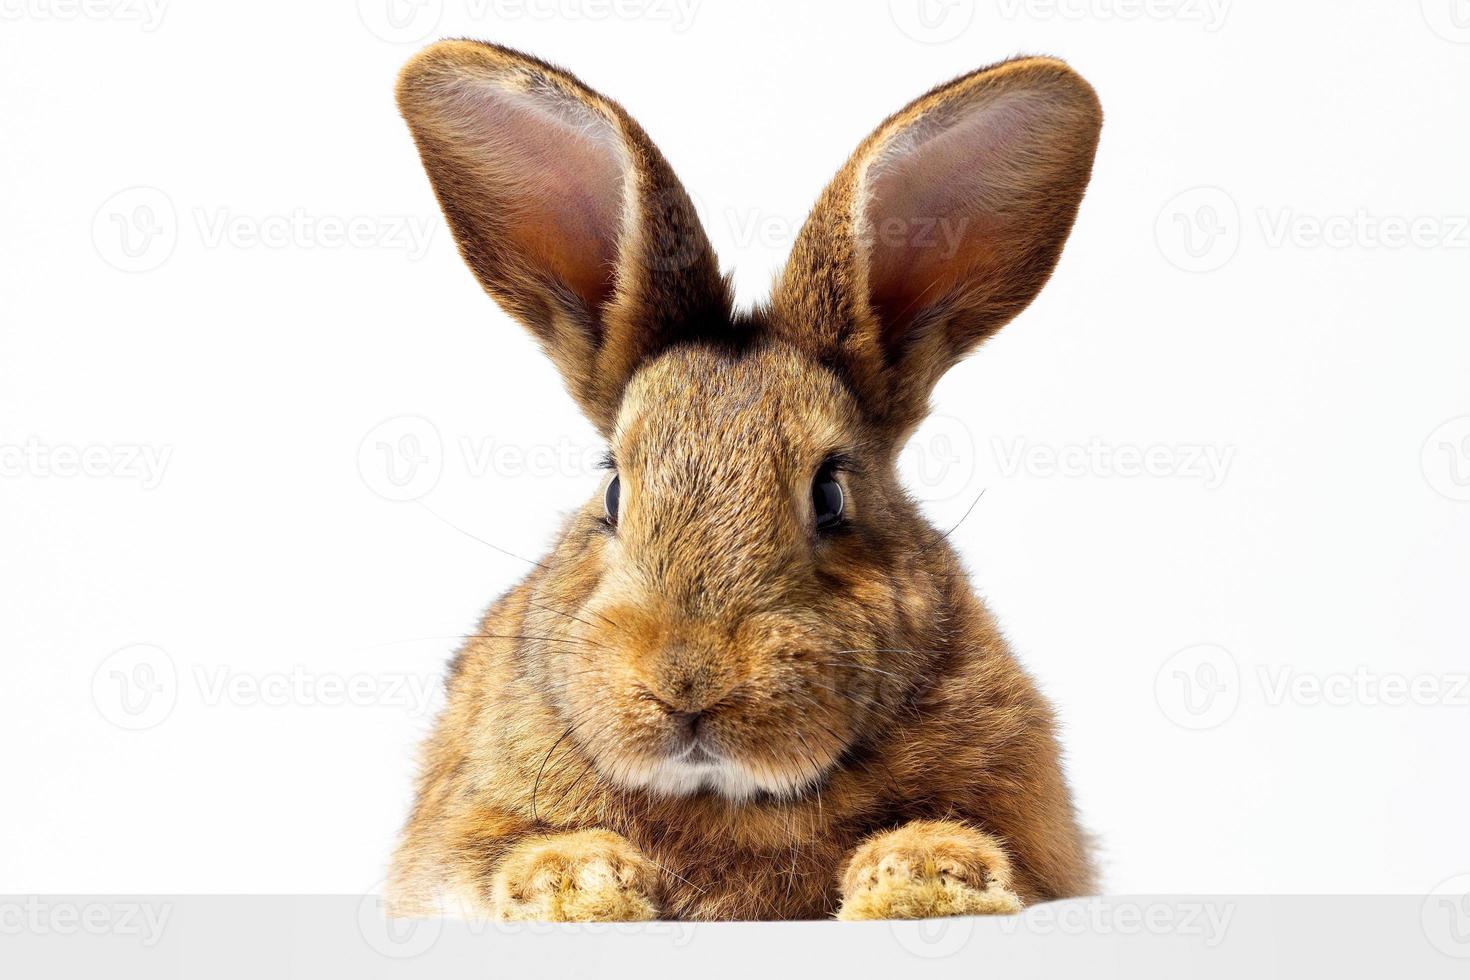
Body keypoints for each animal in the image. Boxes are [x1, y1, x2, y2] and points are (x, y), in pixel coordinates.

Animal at [388, 38, 1105, 922]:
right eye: (613, 490)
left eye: (831, 494)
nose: (688, 684)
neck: (727, 797)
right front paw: (578, 882)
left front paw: (926, 874)